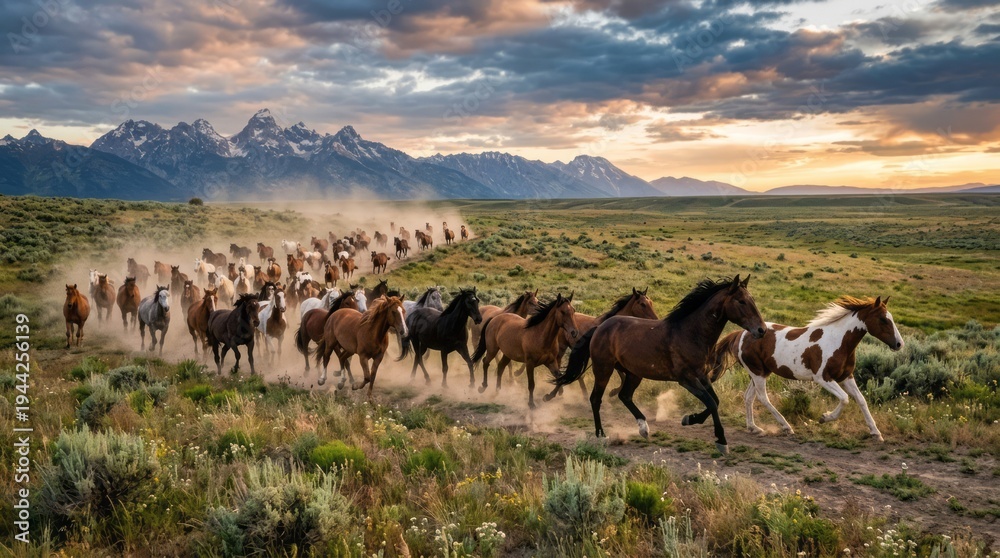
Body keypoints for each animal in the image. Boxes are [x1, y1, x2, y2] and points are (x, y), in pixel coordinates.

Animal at [553, 275, 766, 455]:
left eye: (752, 300)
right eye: (741, 301)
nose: (761, 330)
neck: (691, 333)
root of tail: (600, 327)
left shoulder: (702, 376)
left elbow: (715, 401)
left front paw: (690, 419)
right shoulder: (686, 379)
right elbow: (712, 403)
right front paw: (721, 441)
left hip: (633, 373)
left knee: (624, 395)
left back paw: (644, 428)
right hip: (603, 369)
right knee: (596, 399)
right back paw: (601, 435)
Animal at [710, 296, 903, 442]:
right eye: (883, 319)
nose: (899, 344)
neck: (838, 341)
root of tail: (740, 334)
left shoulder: (846, 377)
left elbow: (861, 400)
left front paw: (876, 433)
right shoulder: (823, 378)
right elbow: (845, 399)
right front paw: (824, 418)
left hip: (760, 372)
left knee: (749, 397)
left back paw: (754, 428)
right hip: (757, 373)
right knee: (762, 397)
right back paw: (786, 427)